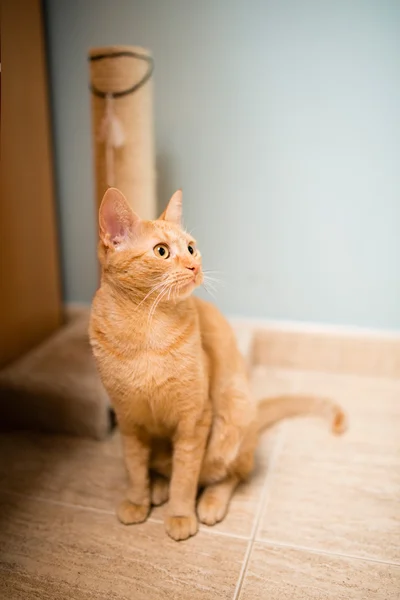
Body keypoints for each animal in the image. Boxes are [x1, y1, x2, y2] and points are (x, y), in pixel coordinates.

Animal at [89, 190, 346, 540]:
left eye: (191, 247)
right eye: (161, 251)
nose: (194, 265)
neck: (146, 328)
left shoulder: (194, 418)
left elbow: (185, 477)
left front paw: (181, 515)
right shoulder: (129, 420)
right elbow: (135, 467)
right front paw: (137, 501)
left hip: (232, 417)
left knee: (229, 475)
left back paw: (210, 502)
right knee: (162, 468)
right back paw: (158, 487)